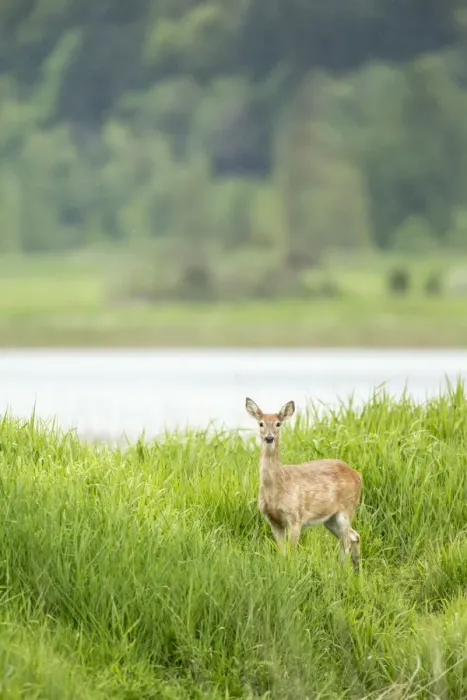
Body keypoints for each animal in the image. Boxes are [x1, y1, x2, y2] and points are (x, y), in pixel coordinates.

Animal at [245, 397, 362, 572]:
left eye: (278, 423)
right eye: (261, 423)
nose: (269, 437)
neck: (277, 487)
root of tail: (358, 475)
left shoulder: (295, 517)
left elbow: (291, 554)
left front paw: (291, 573)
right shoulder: (273, 521)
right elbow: (281, 553)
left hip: (346, 509)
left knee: (347, 541)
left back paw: (343, 572)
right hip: (330, 518)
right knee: (353, 536)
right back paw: (355, 572)